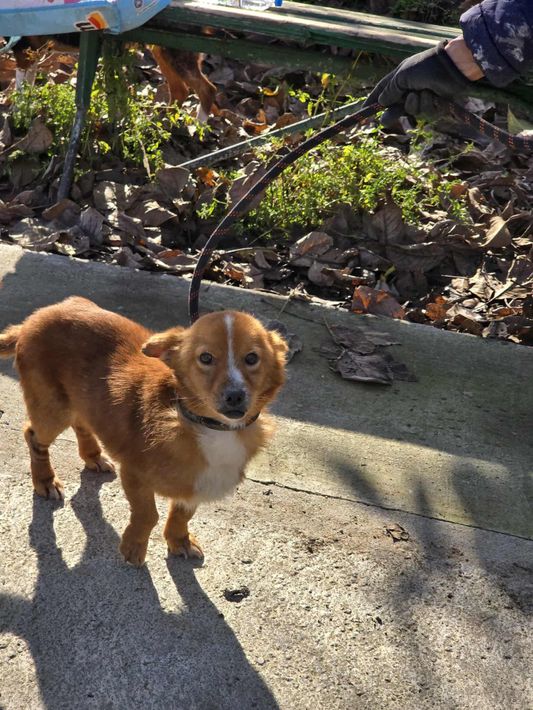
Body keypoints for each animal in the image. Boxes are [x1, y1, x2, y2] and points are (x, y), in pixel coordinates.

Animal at [0, 297, 287, 566]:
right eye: (205, 358)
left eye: (252, 358)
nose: (235, 396)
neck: (203, 423)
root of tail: (33, 319)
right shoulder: (134, 474)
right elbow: (147, 514)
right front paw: (134, 547)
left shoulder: (195, 483)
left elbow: (182, 514)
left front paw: (179, 540)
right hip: (52, 409)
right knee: (33, 436)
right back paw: (45, 480)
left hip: (81, 400)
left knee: (81, 422)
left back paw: (93, 456)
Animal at [5, 35, 217, 120]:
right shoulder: (32, 53)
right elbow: (27, 85)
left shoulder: (23, 51)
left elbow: (21, 88)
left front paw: (17, 115)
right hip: (163, 52)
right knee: (180, 91)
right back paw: (163, 119)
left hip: (176, 55)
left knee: (207, 90)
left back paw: (197, 126)